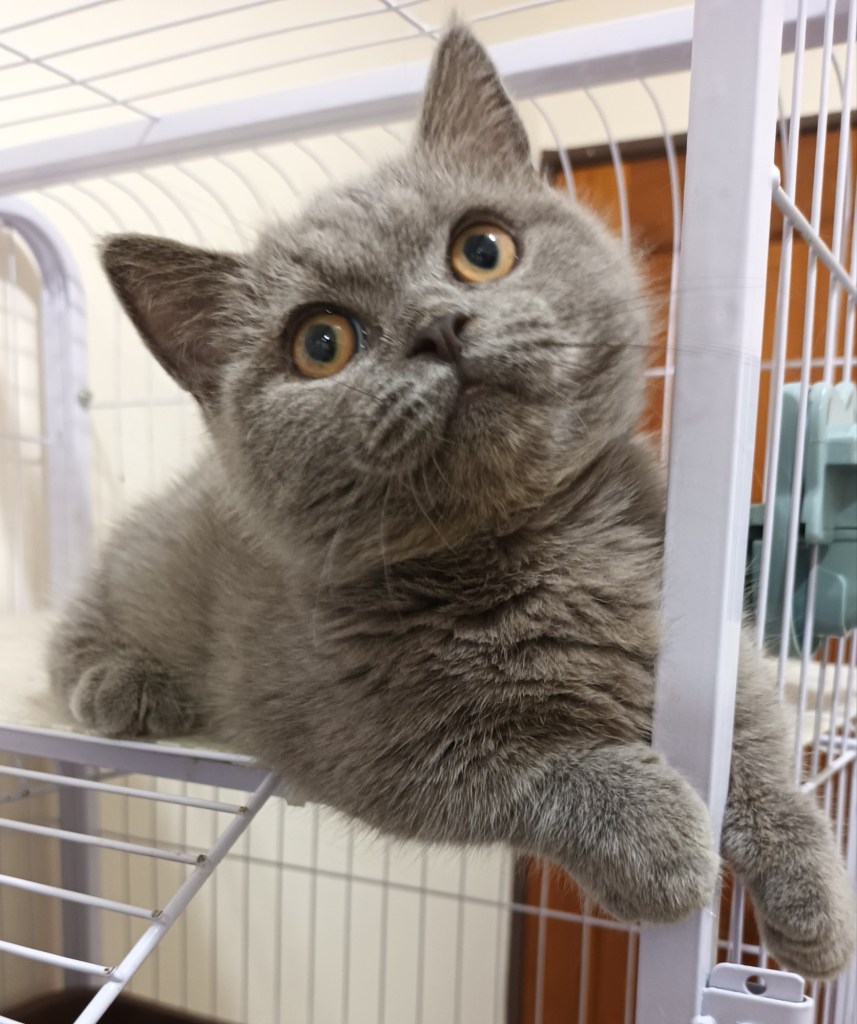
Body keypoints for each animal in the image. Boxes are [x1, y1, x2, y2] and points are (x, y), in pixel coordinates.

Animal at [49, 24, 855, 981]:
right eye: (320, 342)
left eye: (482, 249)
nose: (439, 326)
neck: (537, 542)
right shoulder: (349, 736)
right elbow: (521, 767)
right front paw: (655, 838)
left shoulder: (696, 610)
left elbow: (753, 723)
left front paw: (812, 890)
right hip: (131, 579)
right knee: (67, 642)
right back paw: (124, 685)